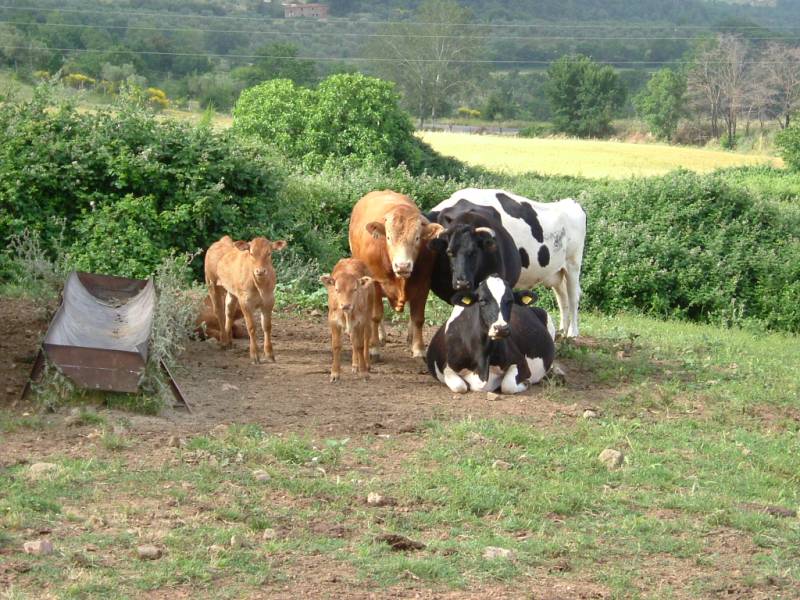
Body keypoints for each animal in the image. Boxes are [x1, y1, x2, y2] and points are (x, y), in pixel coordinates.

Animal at [204, 235, 287, 363]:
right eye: (251, 253)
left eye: (269, 253)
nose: (260, 271)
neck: (260, 286)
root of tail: (221, 241)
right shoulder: (245, 302)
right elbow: (251, 327)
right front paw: (254, 355)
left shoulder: (269, 301)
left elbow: (267, 326)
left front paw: (269, 354)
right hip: (211, 283)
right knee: (219, 311)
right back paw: (224, 341)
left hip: (232, 291)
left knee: (229, 311)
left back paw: (229, 340)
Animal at [349, 190, 443, 357]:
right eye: (388, 237)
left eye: (417, 238)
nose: (403, 265)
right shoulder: (375, 282)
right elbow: (375, 316)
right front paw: (374, 347)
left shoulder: (424, 283)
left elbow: (418, 318)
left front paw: (418, 349)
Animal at [426, 275, 556, 394]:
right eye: (482, 300)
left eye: (510, 301)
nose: (501, 328)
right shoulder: (448, 367)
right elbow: (460, 387)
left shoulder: (521, 362)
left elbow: (507, 385)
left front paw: (526, 383)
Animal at [427, 188, 586, 337]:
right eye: (449, 251)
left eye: (474, 252)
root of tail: (571, 202)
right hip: (557, 272)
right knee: (562, 297)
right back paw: (562, 332)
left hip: (573, 263)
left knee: (573, 296)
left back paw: (572, 333)